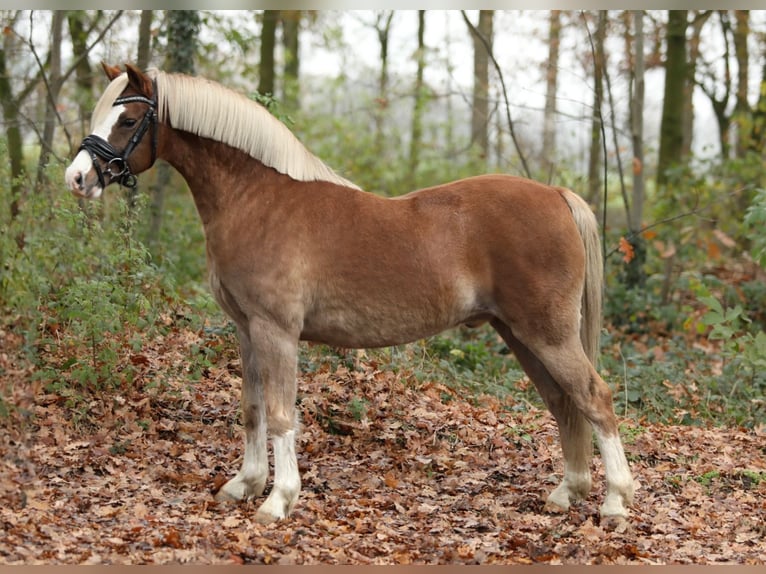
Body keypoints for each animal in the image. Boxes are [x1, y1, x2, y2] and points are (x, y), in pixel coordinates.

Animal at [65, 63, 634, 526]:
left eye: (126, 120)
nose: (77, 178)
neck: (257, 200)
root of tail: (557, 195)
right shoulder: (246, 331)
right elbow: (252, 408)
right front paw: (245, 485)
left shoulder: (276, 331)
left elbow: (280, 414)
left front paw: (278, 500)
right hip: (519, 333)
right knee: (563, 403)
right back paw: (567, 493)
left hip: (547, 333)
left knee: (595, 398)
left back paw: (614, 503)